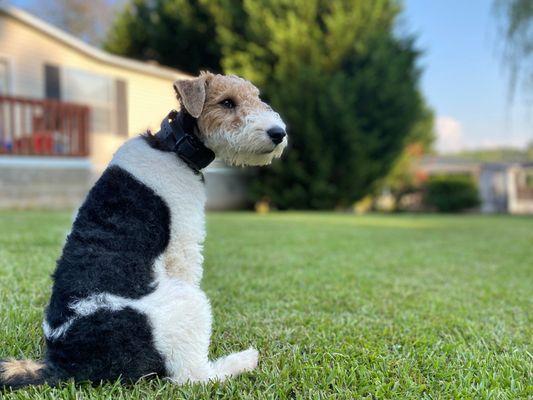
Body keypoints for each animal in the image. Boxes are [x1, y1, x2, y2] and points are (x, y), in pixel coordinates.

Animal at [1, 71, 286, 388]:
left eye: (256, 97)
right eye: (227, 102)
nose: (279, 133)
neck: (173, 147)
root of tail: (66, 365)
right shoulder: (183, 249)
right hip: (188, 303)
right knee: (193, 376)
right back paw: (244, 360)